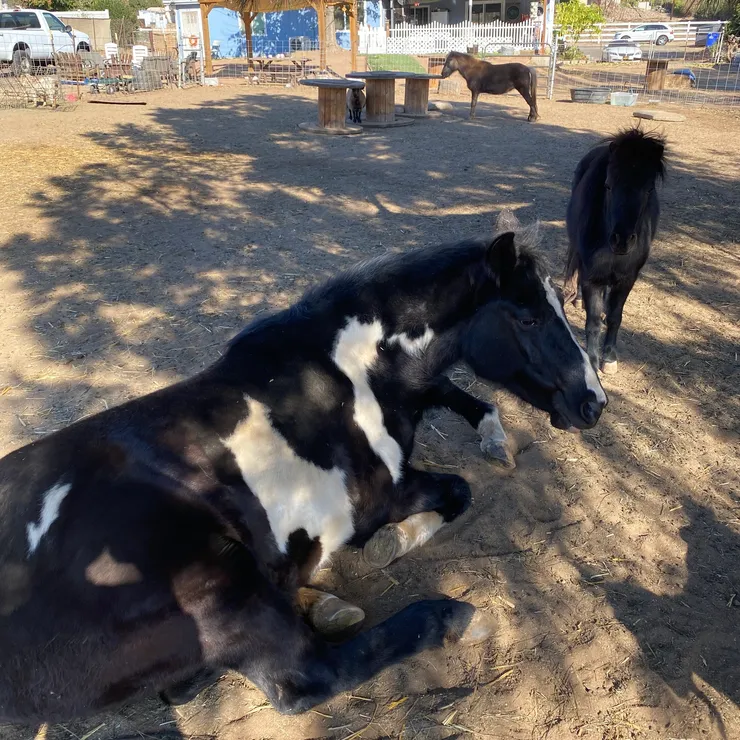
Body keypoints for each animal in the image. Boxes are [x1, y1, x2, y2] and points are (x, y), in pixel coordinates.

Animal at [0, 215, 606, 724]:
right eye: (527, 317)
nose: (594, 404)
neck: (350, 372)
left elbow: (453, 394)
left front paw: (492, 435)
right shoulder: (387, 494)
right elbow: (457, 491)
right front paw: (390, 542)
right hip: (226, 583)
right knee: (307, 676)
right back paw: (454, 617)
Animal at [564, 128, 666, 373]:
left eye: (649, 189)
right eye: (608, 185)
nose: (622, 240)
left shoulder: (627, 278)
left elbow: (614, 316)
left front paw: (609, 358)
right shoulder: (592, 276)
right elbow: (593, 322)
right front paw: (593, 362)